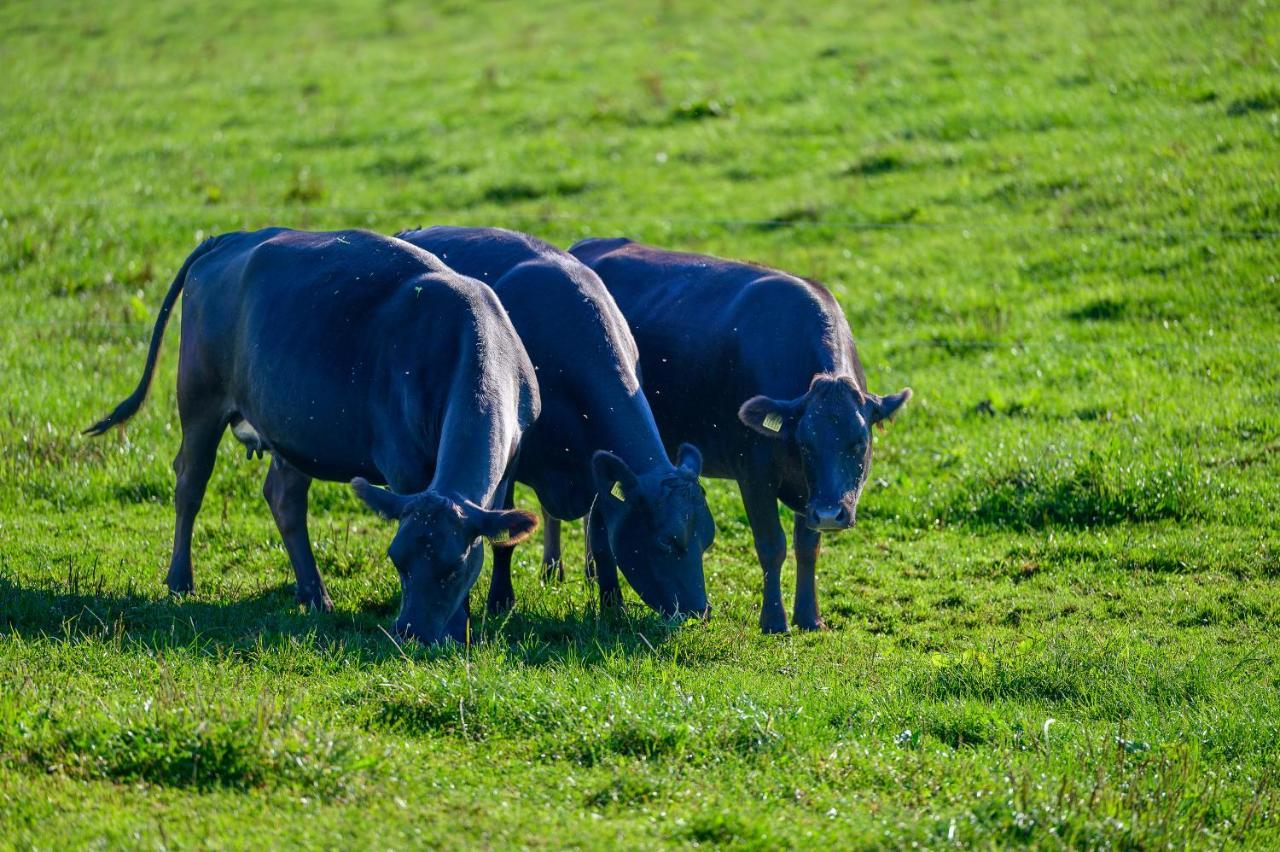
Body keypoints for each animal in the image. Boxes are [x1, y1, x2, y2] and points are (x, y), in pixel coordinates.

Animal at [83, 228, 535, 639]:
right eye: (397, 560)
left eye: (452, 568)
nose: (410, 631)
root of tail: (232, 237)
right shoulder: (404, 464)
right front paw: (459, 626)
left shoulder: (510, 462)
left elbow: (495, 536)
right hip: (200, 400)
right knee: (190, 483)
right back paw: (181, 579)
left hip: (295, 429)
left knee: (284, 499)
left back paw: (313, 593)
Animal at [394, 225, 716, 616]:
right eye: (668, 542)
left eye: (707, 540)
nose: (700, 610)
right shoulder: (512, 459)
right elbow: (505, 538)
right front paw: (500, 600)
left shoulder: (595, 467)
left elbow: (602, 539)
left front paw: (612, 605)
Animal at [568, 236, 911, 629]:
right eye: (805, 443)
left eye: (859, 442)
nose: (829, 514)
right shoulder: (754, 473)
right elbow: (772, 545)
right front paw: (774, 620)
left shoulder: (812, 494)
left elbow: (807, 546)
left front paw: (809, 617)